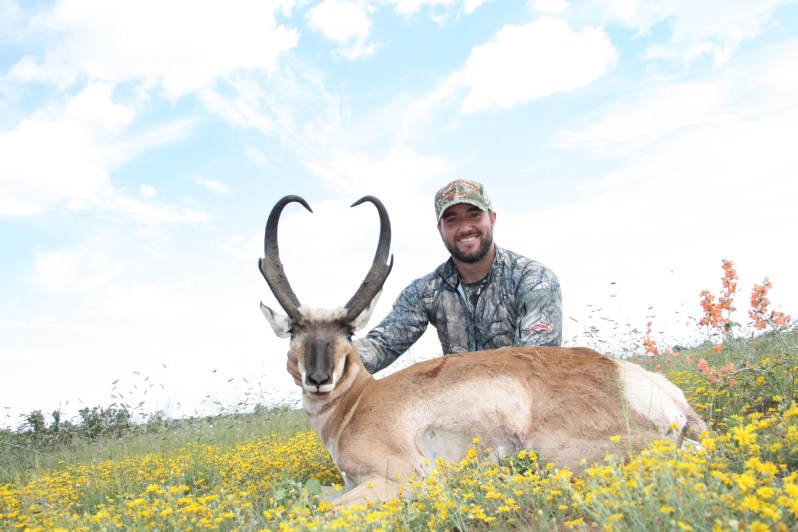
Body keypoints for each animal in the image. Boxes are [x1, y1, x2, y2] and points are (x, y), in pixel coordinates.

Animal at [258, 195, 708, 506]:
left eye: (348, 332)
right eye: (296, 329)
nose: (318, 380)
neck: (358, 402)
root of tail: (632, 379)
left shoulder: (396, 478)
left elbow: (317, 510)